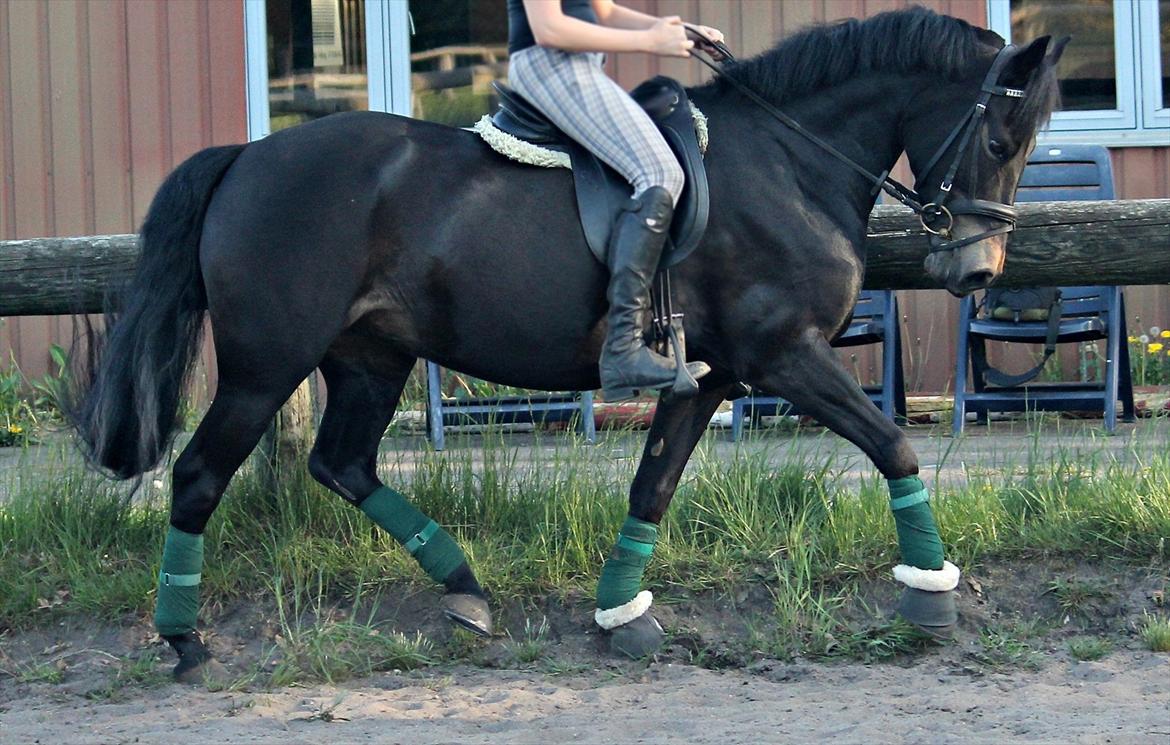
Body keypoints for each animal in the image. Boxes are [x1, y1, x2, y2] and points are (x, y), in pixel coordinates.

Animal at [70, 7, 1062, 678]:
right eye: (1002, 137)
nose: (976, 270)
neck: (791, 162)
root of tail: (245, 153)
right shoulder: (785, 353)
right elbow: (894, 443)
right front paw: (929, 594)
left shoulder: (709, 376)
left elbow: (653, 485)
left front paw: (623, 613)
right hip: (266, 363)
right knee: (202, 475)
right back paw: (185, 637)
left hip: (371, 355)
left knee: (342, 462)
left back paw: (465, 588)